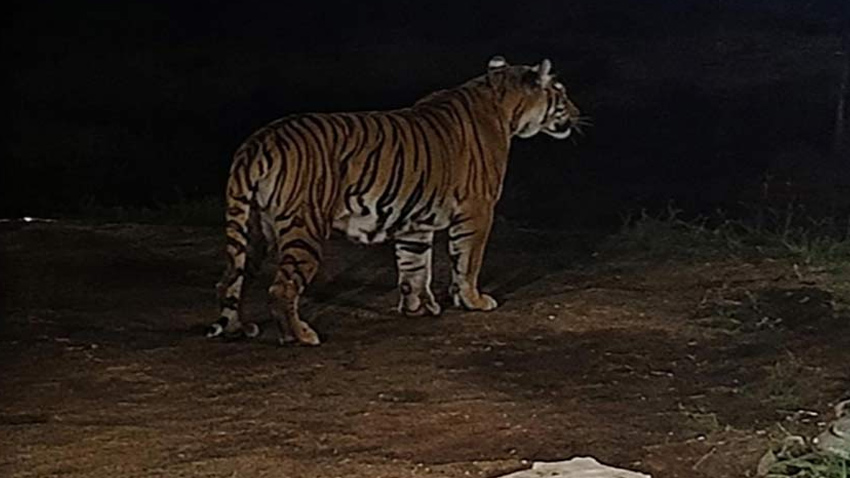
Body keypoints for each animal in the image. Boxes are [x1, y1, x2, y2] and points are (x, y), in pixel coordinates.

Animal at [208, 56, 582, 345]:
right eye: (561, 92)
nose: (577, 111)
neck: (503, 102)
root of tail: (259, 141)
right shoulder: (477, 210)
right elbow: (467, 262)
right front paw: (474, 300)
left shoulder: (415, 219)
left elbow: (414, 266)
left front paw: (418, 308)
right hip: (304, 228)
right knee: (281, 289)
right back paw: (300, 336)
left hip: (254, 229)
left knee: (229, 279)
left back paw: (238, 329)